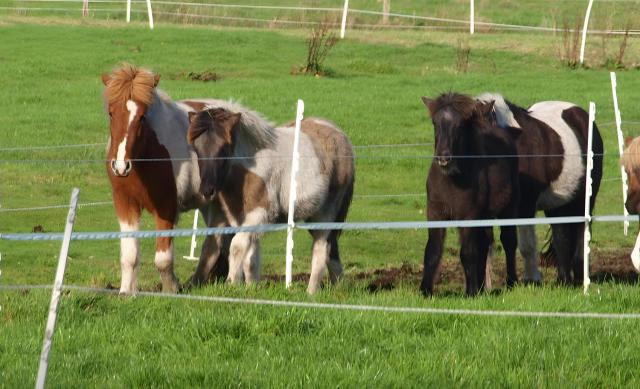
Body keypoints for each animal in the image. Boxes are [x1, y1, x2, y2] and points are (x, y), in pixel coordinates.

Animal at [186, 104, 356, 292]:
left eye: (223, 148)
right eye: (196, 148)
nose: (207, 190)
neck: (249, 169)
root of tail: (339, 135)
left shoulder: (261, 213)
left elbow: (237, 246)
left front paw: (232, 284)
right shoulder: (240, 218)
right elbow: (250, 256)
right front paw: (251, 288)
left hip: (326, 213)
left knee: (321, 247)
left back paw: (311, 291)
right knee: (331, 246)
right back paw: (339, 286)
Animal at [420, 93, 520, 294]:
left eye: (459, 125)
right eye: (435, 123)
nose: (444, 158)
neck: (452, 180)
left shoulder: (468, 216)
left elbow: (467, 253)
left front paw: (471, 291)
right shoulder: (435, 213)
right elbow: (432, 251)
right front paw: (425, 291)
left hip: (508, 207)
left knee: (509, 241)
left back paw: (511, 282)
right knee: (484, 244)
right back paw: (482, 287)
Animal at [476, 92, 604, 284]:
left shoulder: (525, 206)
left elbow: (525, 245)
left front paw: (531, 279)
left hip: (585, 199)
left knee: (581, 230)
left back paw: (580, 277)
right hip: (557, 204)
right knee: (562, 237)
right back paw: (564, 280)